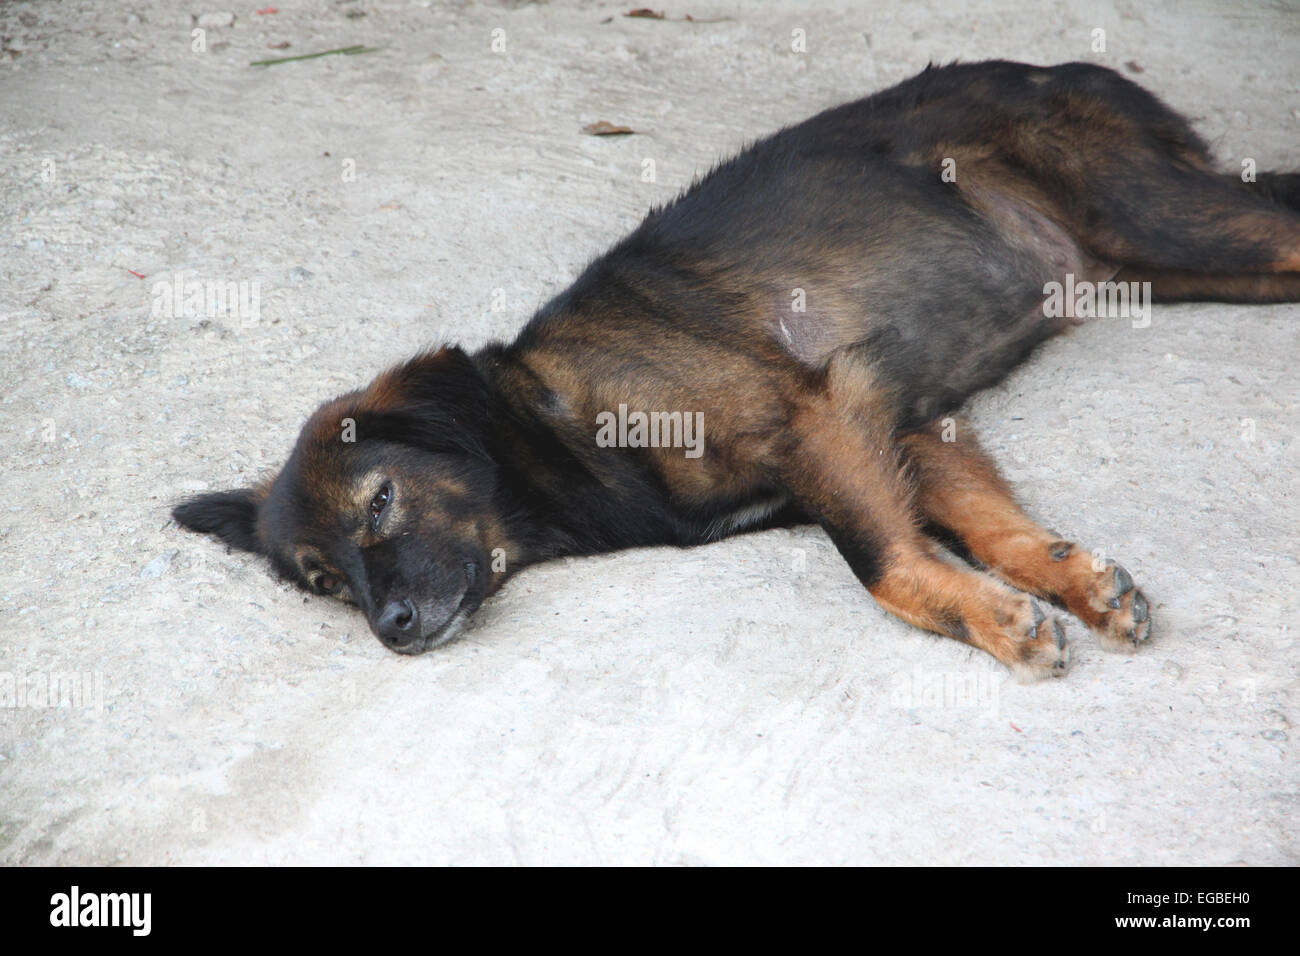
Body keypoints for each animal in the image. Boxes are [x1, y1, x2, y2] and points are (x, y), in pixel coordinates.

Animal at [172, 61, 1300, 681]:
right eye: (323, 581)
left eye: (382, 500)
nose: (393, 631)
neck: (551, 423)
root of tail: (1071, 67)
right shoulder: (890, 425)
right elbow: (985, 527)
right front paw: (1066, 581)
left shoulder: (812, 416)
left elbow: (884, 565)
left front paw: (992, 620)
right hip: (1159, 265)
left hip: (1157, 213)